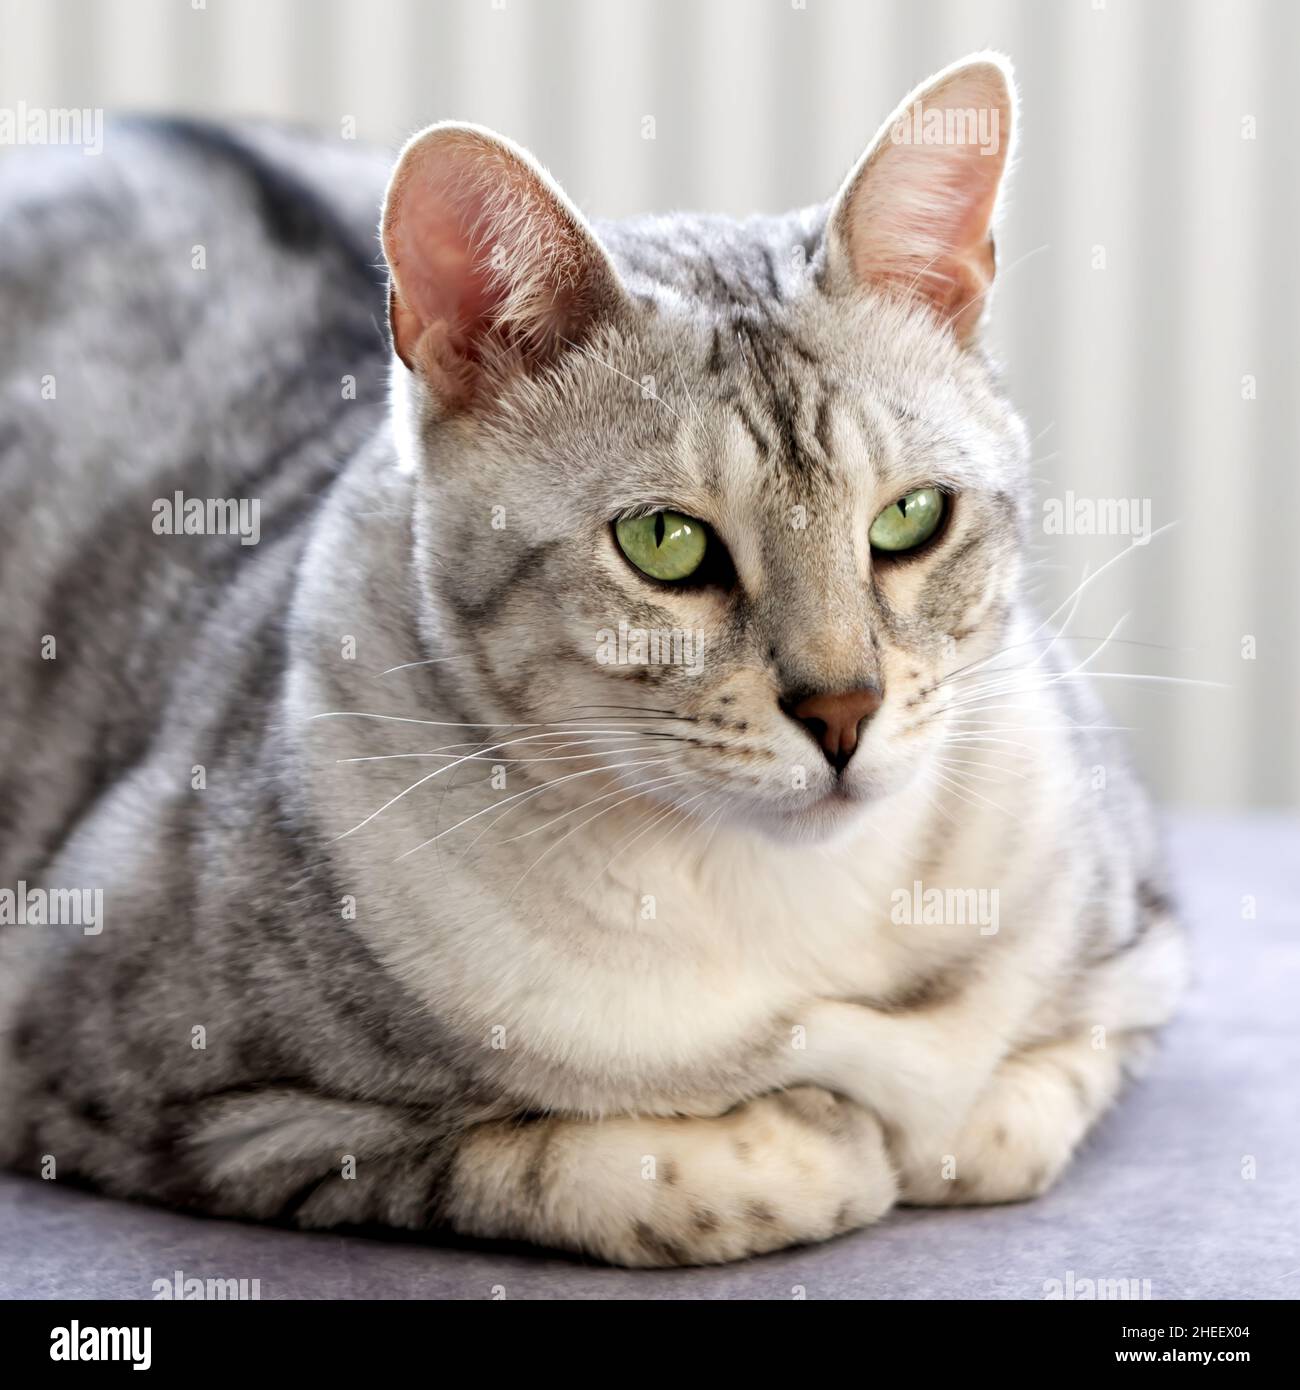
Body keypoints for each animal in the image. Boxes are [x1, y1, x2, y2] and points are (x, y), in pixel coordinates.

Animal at [0, 56, 1190, 1273]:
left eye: (910, 518)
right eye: (664, 542)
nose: (843, 709)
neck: (785, 907)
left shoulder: (1145, 953)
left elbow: (1009, 1111)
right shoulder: (162, 1088)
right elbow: (619, 1165)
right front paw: (820, 1134)